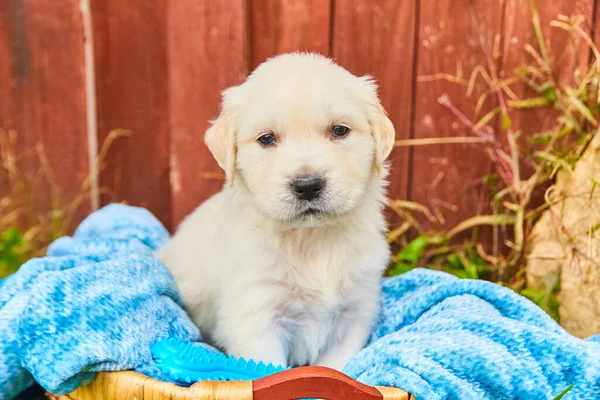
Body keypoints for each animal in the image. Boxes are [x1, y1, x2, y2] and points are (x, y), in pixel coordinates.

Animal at [157, 51, 396, 370]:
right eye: (266, 139)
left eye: (339, 130)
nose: (308, 186)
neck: (311, 240)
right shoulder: (257, 317)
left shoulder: (355, 312)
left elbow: (334, 368)